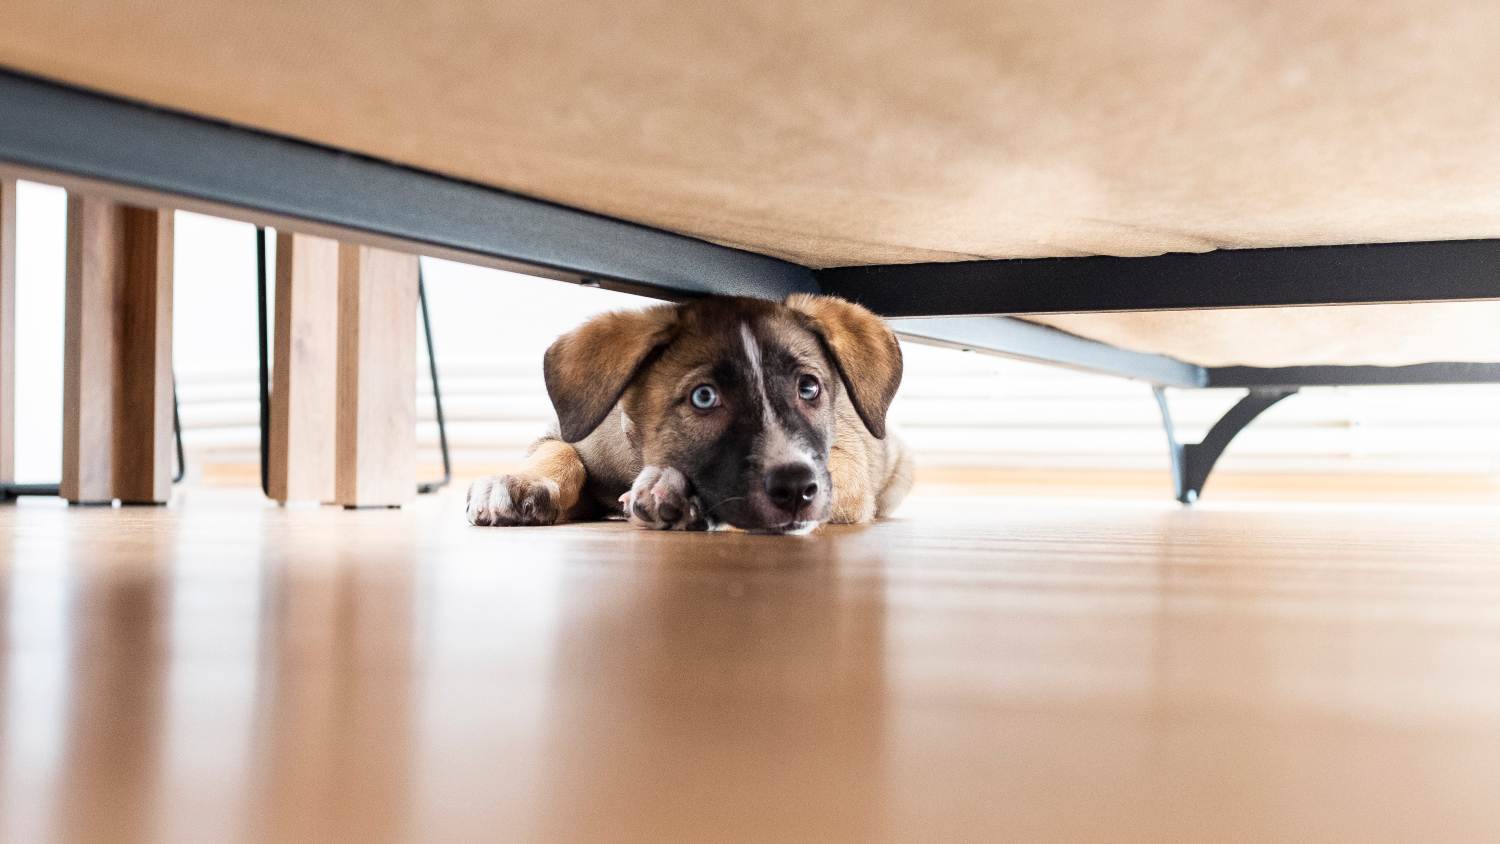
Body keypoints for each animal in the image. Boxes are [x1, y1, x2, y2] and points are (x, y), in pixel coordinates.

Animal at [465, 293, 912, 533]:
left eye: (808, 387)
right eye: (704, 397)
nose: (796, 489)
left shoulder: (845, 464)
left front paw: (674, 491)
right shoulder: (569, 432)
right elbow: (559, 451)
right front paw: (520, 482)